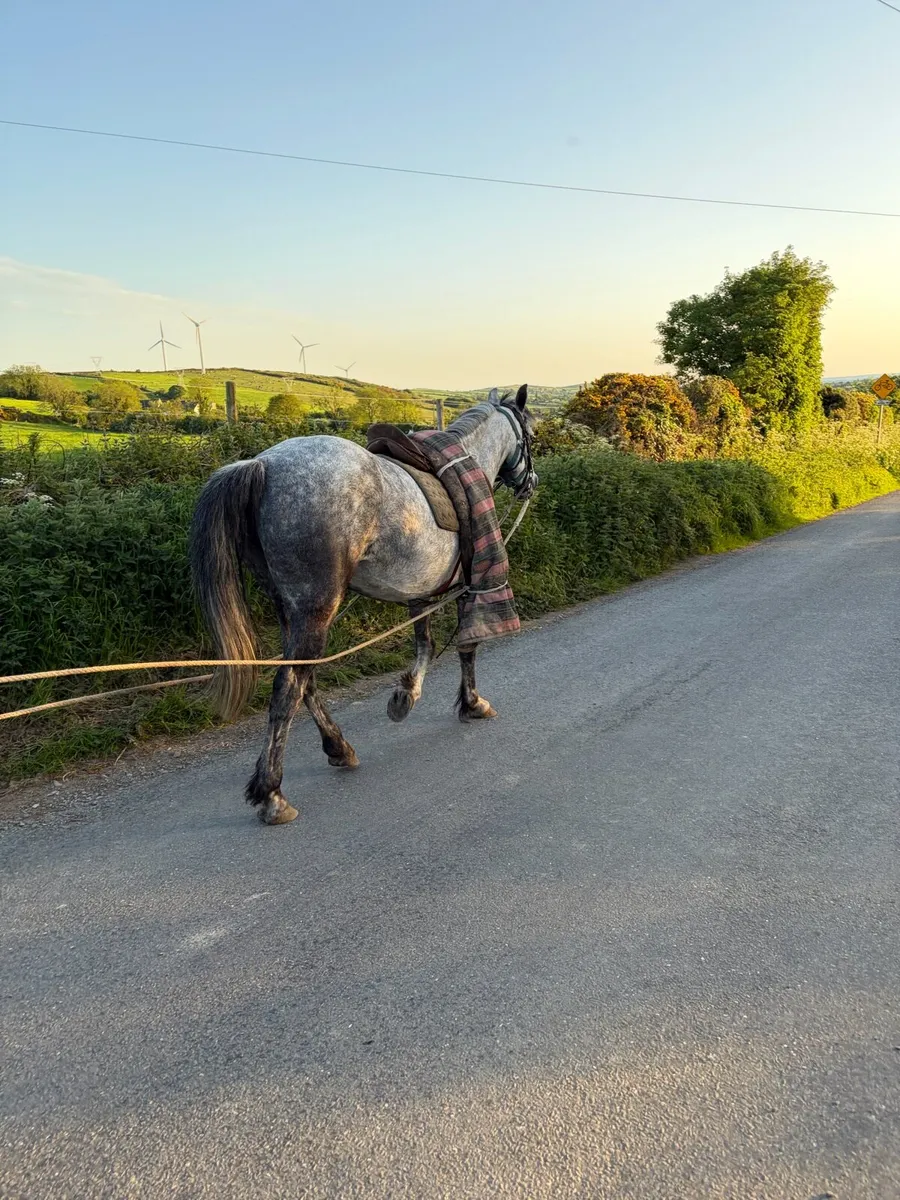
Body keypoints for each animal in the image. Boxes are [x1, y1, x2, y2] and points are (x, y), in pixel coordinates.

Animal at [188, 385, 538, 825]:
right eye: (530, 433)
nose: (531, 482)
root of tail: (263, 464)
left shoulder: (418, 589)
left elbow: (424, 643)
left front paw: (406, 695)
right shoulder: (471, 584)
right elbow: (466, 646)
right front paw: (472, 703)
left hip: (290, 608)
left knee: (305, 680)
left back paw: (338, 747)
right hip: (316, 608)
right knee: (289, 686)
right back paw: (272, 794)